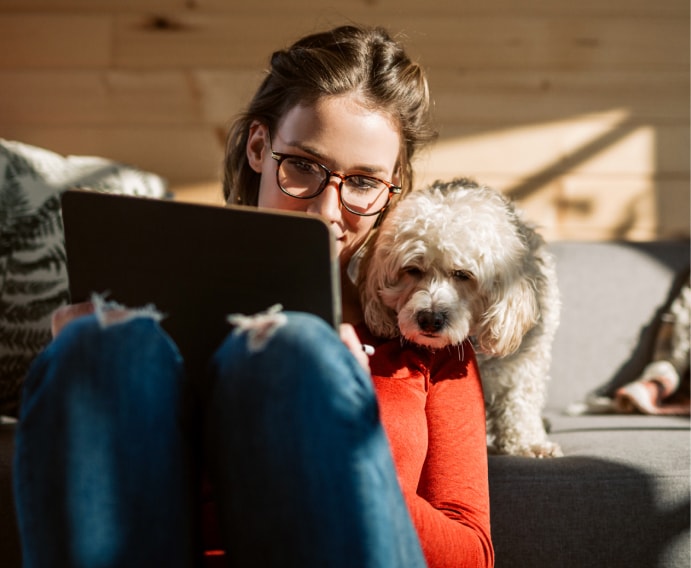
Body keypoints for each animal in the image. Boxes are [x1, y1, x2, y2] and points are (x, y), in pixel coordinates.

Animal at [360, 180, 564, 460]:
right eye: (412, 270)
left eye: (462, 274)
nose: (429, 319)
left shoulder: (525, 361)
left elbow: (520, 400)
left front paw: (528, 443)